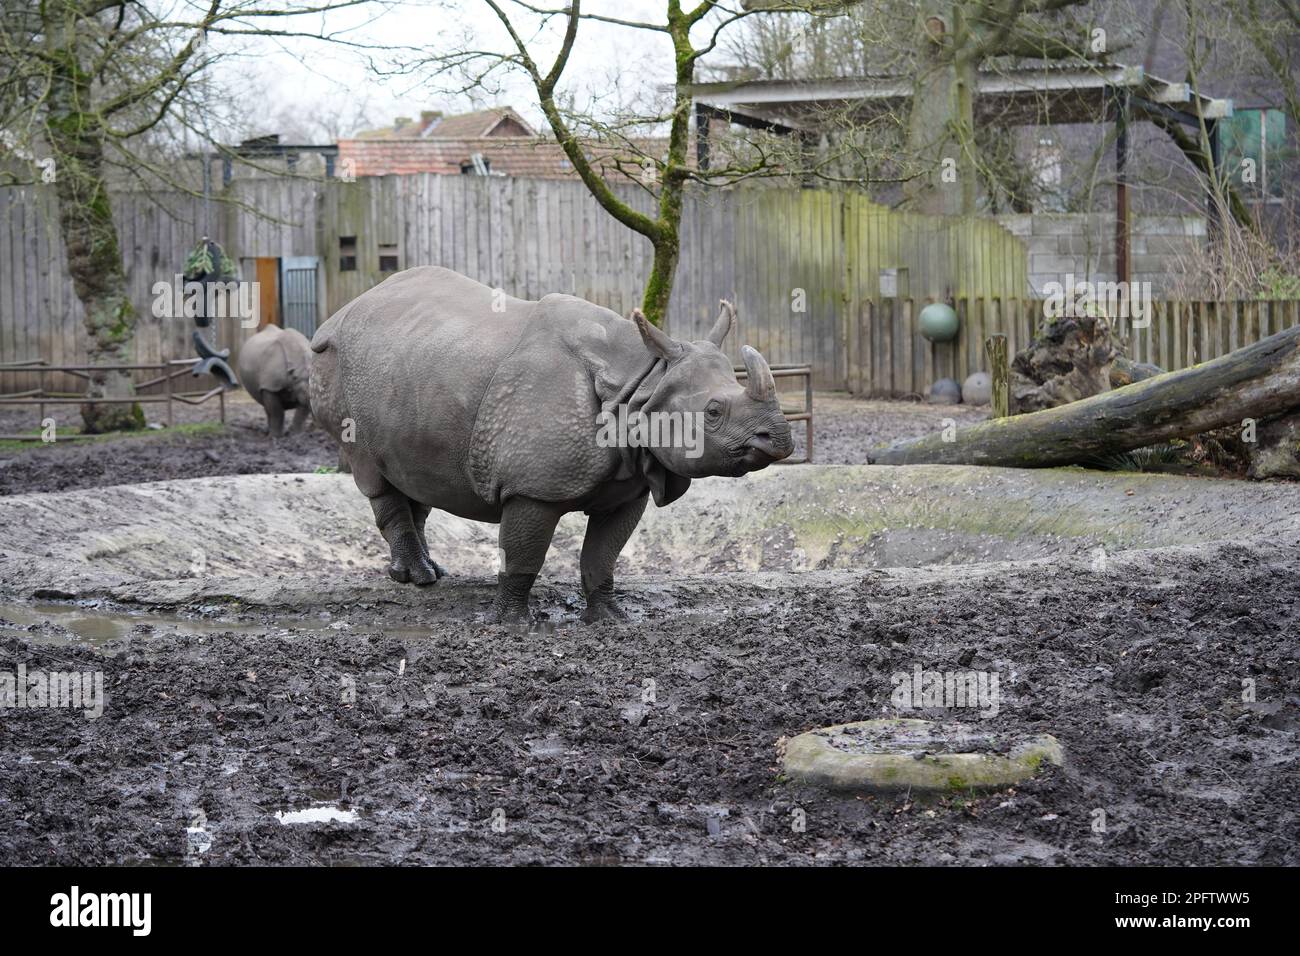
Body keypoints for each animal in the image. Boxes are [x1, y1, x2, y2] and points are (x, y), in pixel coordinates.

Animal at [310, 266, 793, 622]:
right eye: (713, 412)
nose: (780, 440)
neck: (642, 383)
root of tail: (336, 315)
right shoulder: (532, 487)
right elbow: (523, 553)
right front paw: (511, 625)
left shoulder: (630, 484)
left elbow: (603, 555)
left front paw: (611, 620)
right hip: (337, 369)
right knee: (373, 471)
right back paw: (419, 579)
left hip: (411, 371)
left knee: (413, 474)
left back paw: (429, 573)